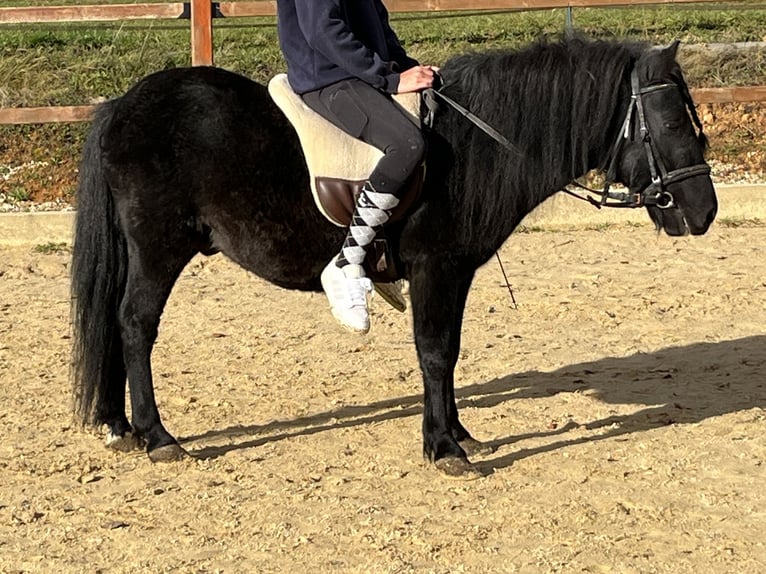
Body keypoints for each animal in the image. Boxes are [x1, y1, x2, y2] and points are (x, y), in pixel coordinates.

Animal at [70, 37, 717, 479]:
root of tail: (124, 104)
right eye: (669, 121)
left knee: (115, 323)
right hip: (160, 247)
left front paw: (459, 433)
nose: (703, 211)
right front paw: (444, 448)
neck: (477, 144)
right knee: (134, 324)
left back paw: (119, 426)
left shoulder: (455, 273)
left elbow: (449, 351)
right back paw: (157, 436)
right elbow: (433, 352)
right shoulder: (436, 267)